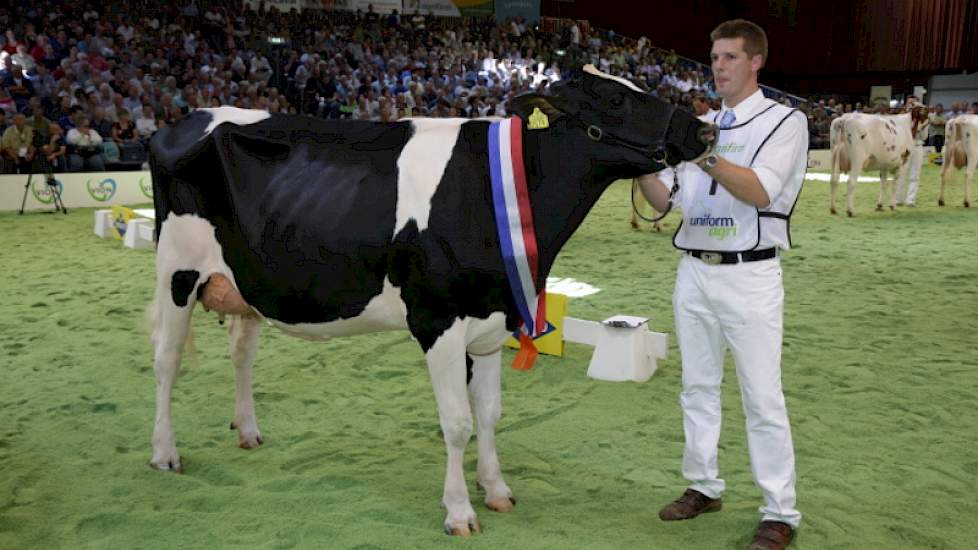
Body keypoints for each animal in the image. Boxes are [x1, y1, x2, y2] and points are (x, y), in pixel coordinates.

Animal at [147, 63, 708, 536]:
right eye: (615, 99)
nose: (704, 130)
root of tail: (182, 121)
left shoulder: (492, 319)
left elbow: (489, 413)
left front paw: (496, 489)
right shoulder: (438, 319)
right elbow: (457, 423)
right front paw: (459, 511)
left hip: (244, 285)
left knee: (240, 354)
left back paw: (247, 430)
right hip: (177, 270)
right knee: (166, 363)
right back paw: (164, 453)